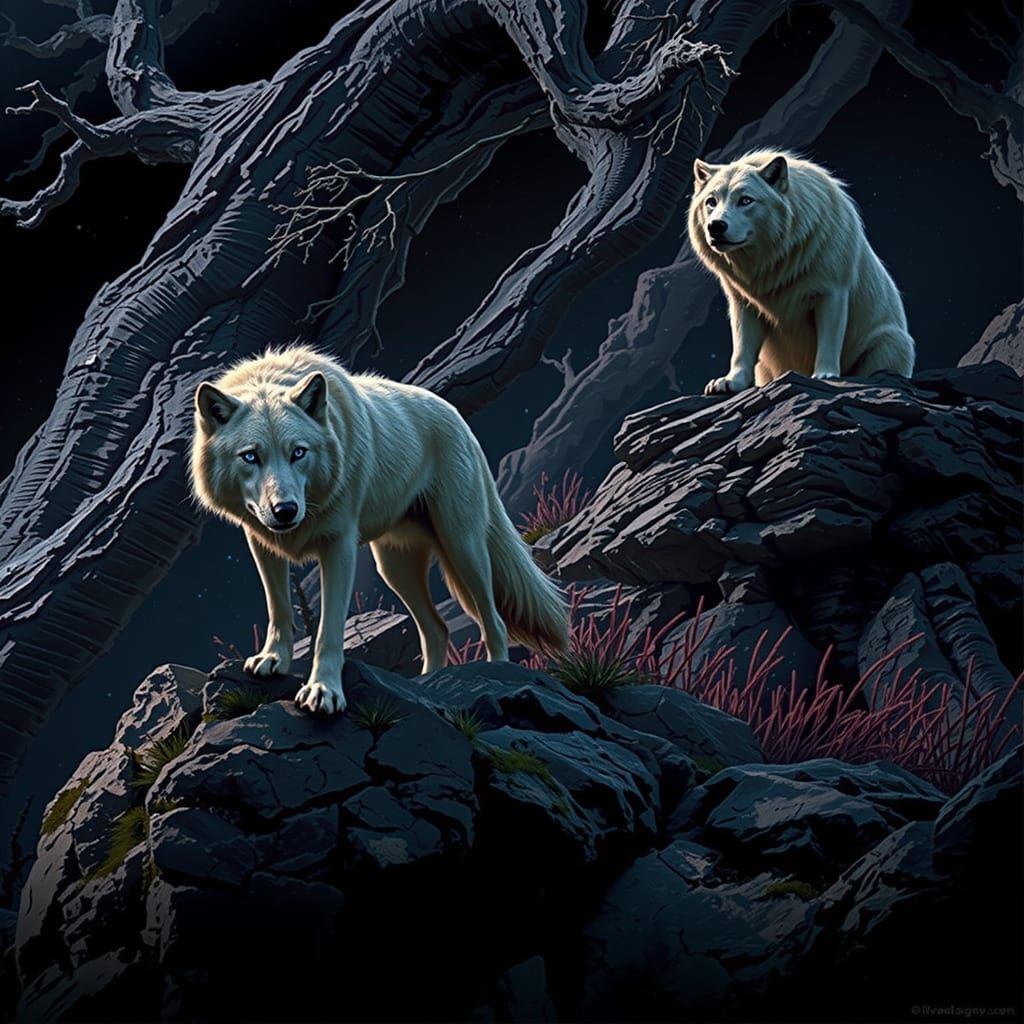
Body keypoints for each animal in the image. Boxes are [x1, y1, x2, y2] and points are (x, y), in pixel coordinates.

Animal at [190, 347, 569, 714]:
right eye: (250, 456)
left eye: (298, 452)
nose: (285, 511)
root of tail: (457, 417)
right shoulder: (261, 542)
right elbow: (278, 608)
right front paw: (273, 658)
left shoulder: (339, 547)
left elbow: (328, 631)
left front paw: (323, 691)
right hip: (394, 568)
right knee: (437, 629)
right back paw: (425, 686)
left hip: (464, 549)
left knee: (494, 622)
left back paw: (496, 673)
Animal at [687, 150, 915, 395]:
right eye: (711, 202)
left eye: (746, 200)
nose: (716, 226)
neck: (771, 263)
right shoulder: (743, 302)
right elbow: (741, 348)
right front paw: (731, 382)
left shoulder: (832, 292)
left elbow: (829, 341)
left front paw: (825, 376)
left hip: (892, 343)